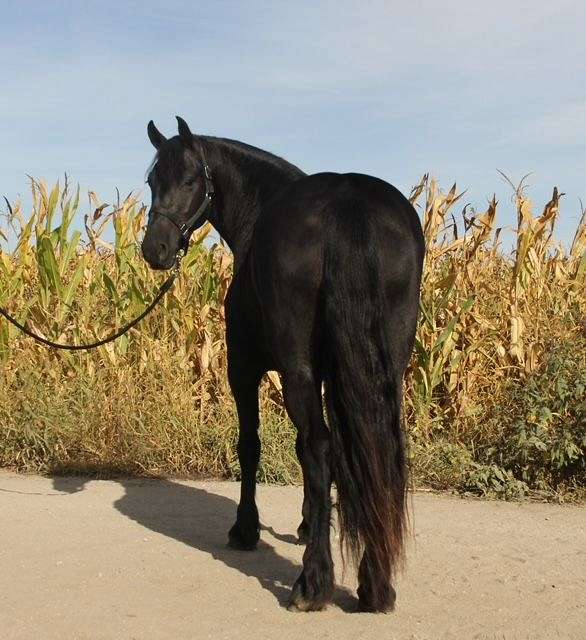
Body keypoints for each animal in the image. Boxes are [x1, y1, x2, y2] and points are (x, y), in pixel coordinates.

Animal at [141, 117, 424, 612]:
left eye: (191, 179)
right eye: (153, 181)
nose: (155, 249)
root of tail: (347, 204)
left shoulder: (244, 368)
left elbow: (251, 445)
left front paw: (245, 529)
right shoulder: (330, 374)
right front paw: (311, 522)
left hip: (295, 371)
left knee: (321, 447)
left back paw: (312, 583)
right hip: (384, 369)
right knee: (374, 448)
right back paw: (375, 584)